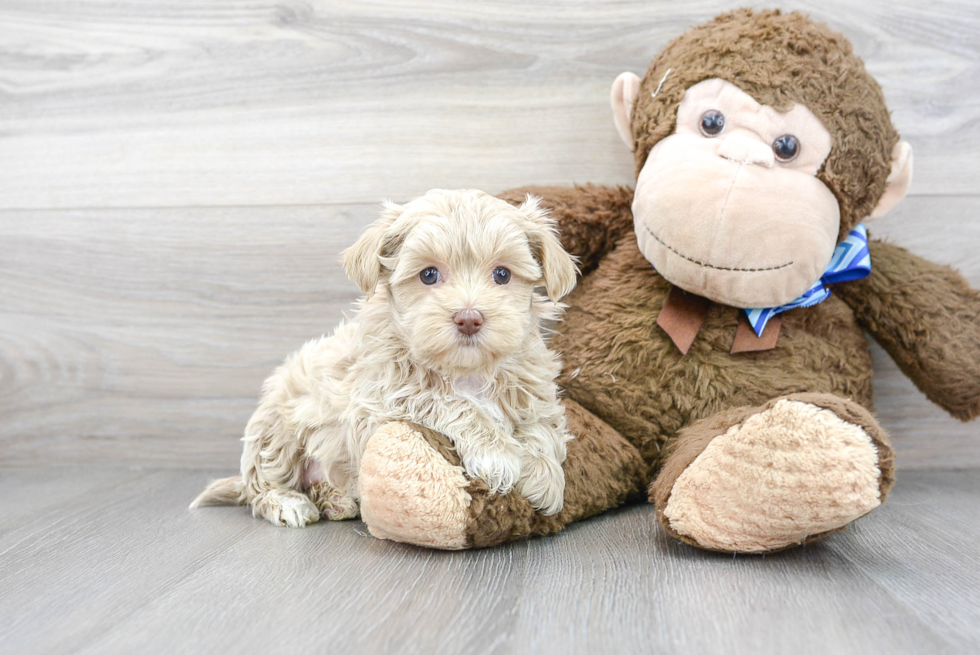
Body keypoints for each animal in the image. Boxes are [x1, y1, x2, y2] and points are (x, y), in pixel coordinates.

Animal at [190, 190, 576, 528]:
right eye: (429, 274)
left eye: (502, 274)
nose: (469, 318)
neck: (465, 371)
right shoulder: (379, 399)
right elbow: (449, 402)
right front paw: (497, 452)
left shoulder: (532, 384)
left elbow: (542, 423)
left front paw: (545, 474)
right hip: (275, 430)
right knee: (261, 487)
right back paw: (289, 503)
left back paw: (334, 499)